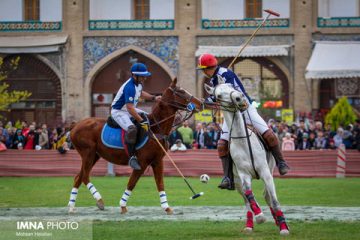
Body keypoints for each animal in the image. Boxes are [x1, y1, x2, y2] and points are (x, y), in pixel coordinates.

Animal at [67, 79, 202, 214]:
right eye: (181, 91)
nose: (200, 103)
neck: (155, 127)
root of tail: (75, 125)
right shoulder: (142, 163)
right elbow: (131, 183)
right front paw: (122, 206)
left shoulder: (157, 161)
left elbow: (160, 183)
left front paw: (166, 207)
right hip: (87, 153)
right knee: (85, 176)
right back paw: (99, 201)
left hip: (94, 155)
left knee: (78, 177)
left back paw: (71, 207)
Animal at [205, 81, 290, 235]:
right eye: (218, 95)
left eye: (232, 87)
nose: (239, 98)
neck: (242, 139)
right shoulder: (243, 174)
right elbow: (249, 194)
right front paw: (260, 216)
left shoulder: (265, 172)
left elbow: (274, 201)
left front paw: (284, 228)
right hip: (236, 180)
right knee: (246, 201)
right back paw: (249, 225)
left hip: (270, 169)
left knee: (267, 196)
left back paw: (277, 220)